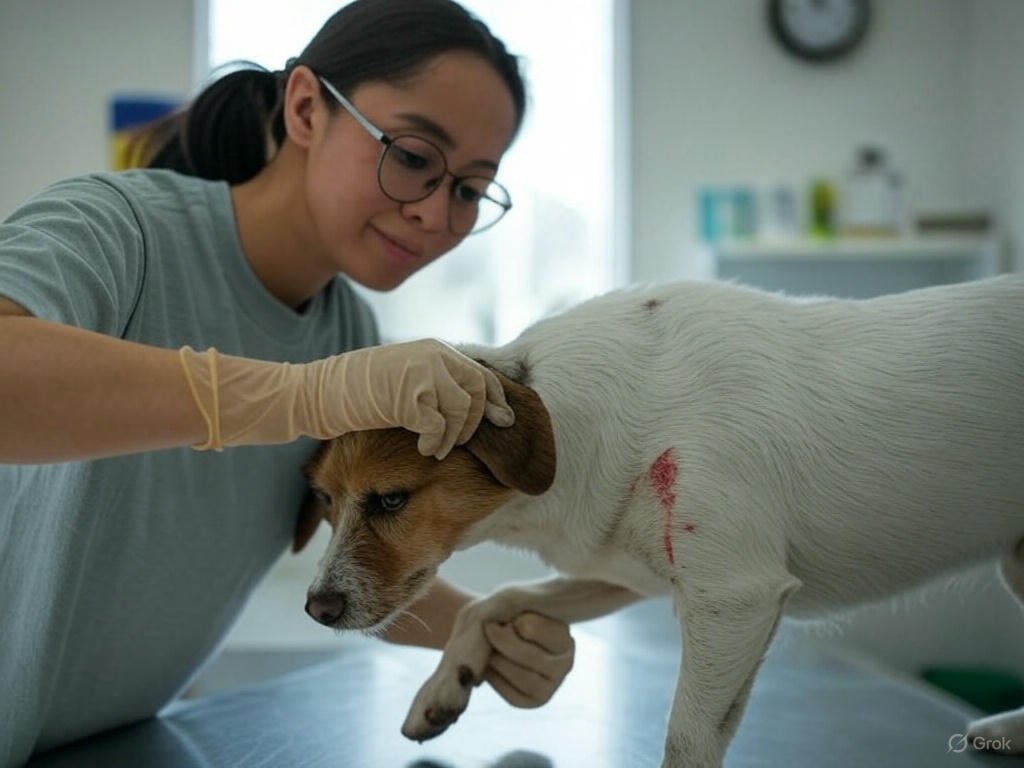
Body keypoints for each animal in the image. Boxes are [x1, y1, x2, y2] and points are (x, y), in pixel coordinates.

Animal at [296, 276, 1024, 768]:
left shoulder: (735, 599)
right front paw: (443, 687)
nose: (317, 609)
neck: (573, 432)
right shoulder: (628, 572)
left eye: (391, 500)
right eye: (326, 499)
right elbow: (497, 599)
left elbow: (685, 739)